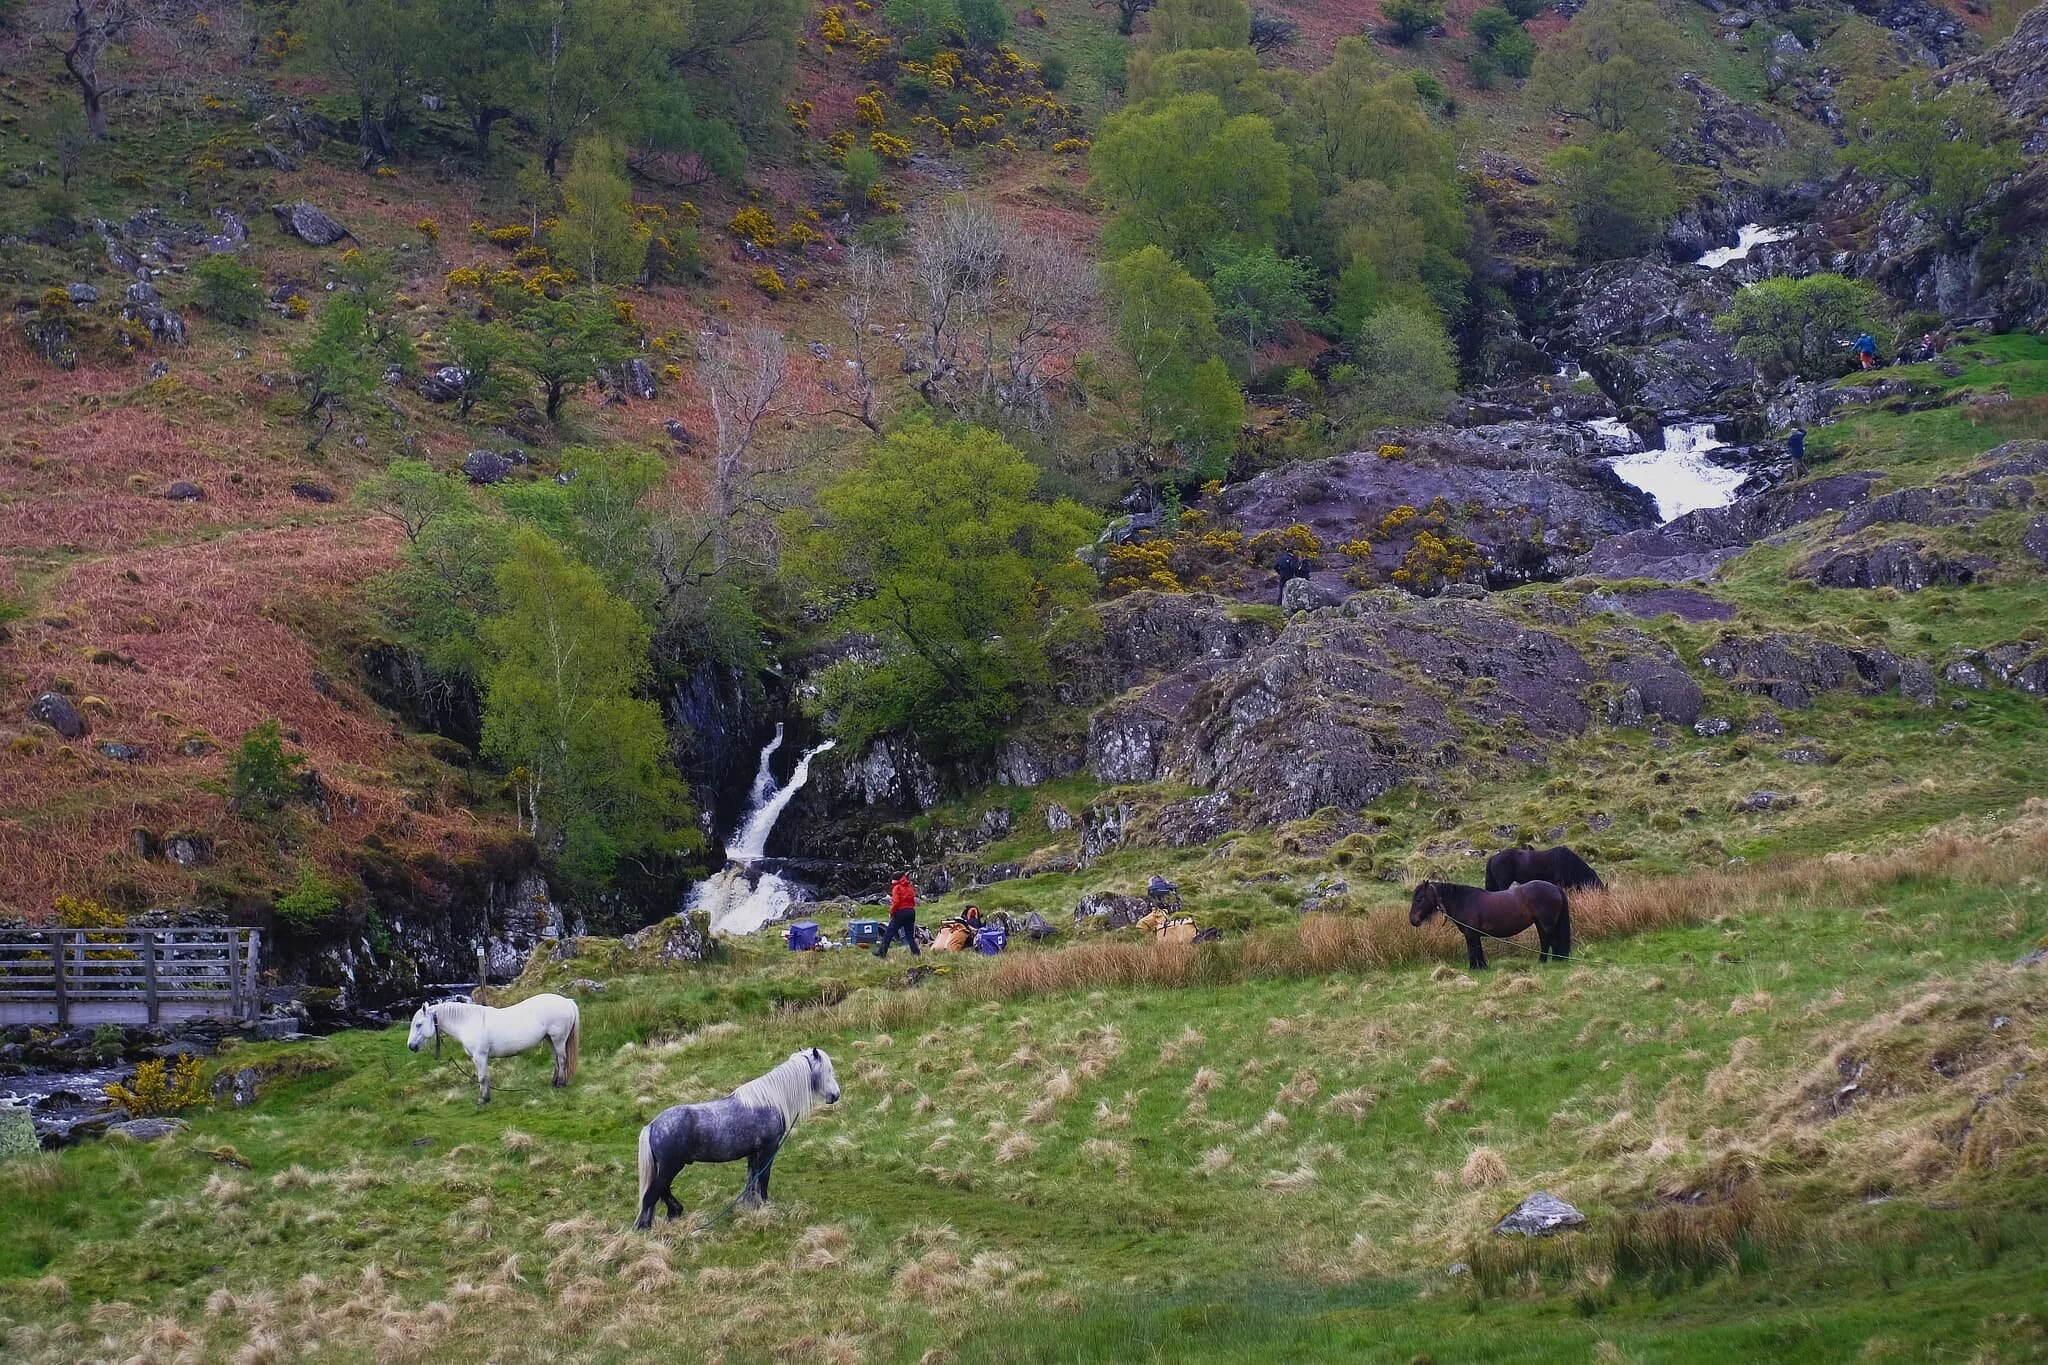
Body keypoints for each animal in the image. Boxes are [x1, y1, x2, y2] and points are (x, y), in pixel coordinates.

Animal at [406, 993, 580, 1103]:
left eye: (419, 1024)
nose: (411, 1046)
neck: (467, 1022)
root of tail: (567, 1001)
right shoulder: (478, 1058)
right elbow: (484, 1077)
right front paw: (486, 1097)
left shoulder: (480, 1056)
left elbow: (482, 1077)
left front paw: (483, 1099)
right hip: (550, 1039)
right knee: (557, 1060)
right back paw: (554, 1082)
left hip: (558, 1039)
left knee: (562, 1060)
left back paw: (560, 1083)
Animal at [635, 1047, 841, 1230]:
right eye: (828, 1071)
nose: (836, 1095)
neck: (769, 1100)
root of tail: (652, 1125)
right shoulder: (769, 1148)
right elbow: (763, 1178)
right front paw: (765, 1207)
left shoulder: (754, 1152)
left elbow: (751, 1180)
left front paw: (751, 1206)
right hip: (670, 1166)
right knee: (651, 1195)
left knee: (662, 1191)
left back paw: (674, 1213)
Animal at [1410, 880, 1571, 970]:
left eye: (1419, 899)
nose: (1413, 920)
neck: (1464, 901)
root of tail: (1555, 888)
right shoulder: (1475, 934)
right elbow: (1478, 950)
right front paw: (1482, 967)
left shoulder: (1470, 934)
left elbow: (1472, 950)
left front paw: (1473, 968)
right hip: (1540, 923)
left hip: (1546, 923)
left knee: (1548, 940)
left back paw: (1545, 960)